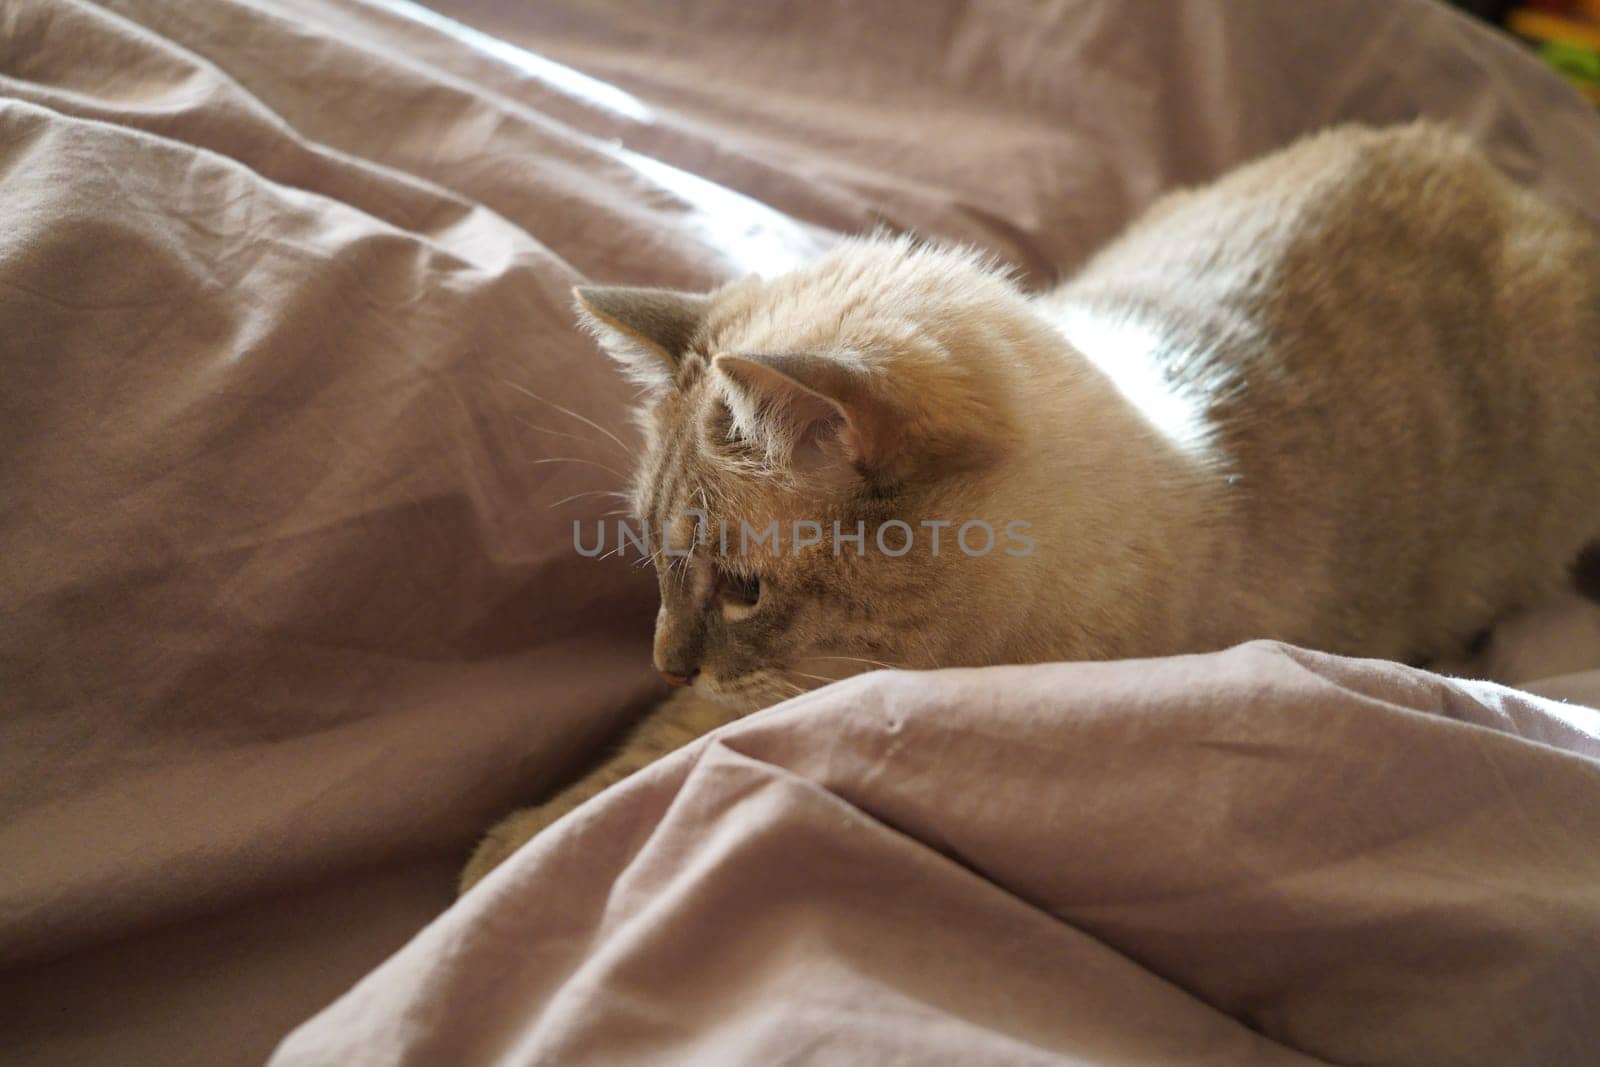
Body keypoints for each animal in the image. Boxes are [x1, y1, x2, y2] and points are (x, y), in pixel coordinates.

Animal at [457, 123, 1593, 895]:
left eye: (739, 588)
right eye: (654, 558)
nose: (662, 658)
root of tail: (1493, 171)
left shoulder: (782, 686)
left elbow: (667, 760)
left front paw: (511, 862)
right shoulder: (746, 691)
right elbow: (646, 751)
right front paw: (511, 848)